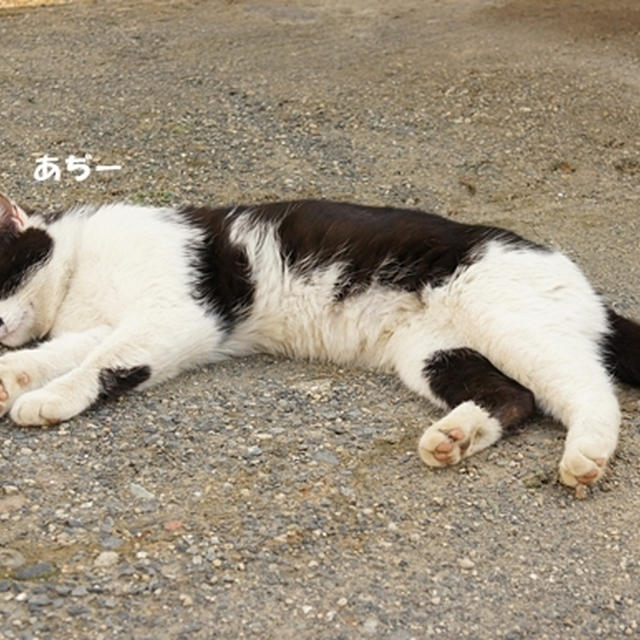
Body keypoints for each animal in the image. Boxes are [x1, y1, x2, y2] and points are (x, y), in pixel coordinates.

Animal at [1, 192, 640, 488]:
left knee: (587, 386)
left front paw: (47, 398)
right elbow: (58, 352)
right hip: (431, 353)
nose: (1, 326)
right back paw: (452, 438)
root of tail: (575, 277)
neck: (81, 273)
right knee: (515, 397)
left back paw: (586, 456)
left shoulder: (176, 316)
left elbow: (101, 363)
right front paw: (14, 377)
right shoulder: (101, 324)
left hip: (506, 321)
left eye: (0, 275)